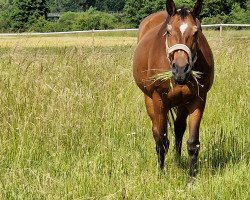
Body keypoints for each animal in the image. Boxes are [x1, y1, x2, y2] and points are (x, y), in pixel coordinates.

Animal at [134, 0, 214, 181]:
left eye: (196, 32)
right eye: (169, 31)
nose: (181, 69)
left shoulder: (198, 100)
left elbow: (193, 143)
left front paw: (191, 179)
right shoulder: (159, 100)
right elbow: (161, 141)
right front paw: (161, 175)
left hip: (182, 103)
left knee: (178, 129)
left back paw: (177, 162)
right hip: (149, 100)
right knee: (157, 132)